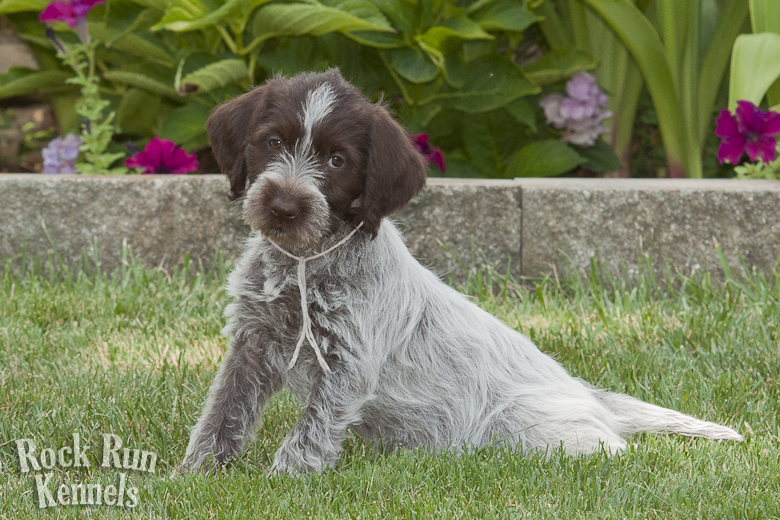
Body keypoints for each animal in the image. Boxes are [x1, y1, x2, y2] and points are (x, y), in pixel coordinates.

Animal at [181, 69, 742, 475]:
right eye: (273, 143)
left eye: (338, 161)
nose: (283, 206)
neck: (304, 261)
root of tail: (588, 392)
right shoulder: (251, 344)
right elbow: (222, 412)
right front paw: (196, 473)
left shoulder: (347, 364)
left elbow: (310, 431)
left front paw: (284, 481)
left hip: (530, 429)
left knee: (610, 449)